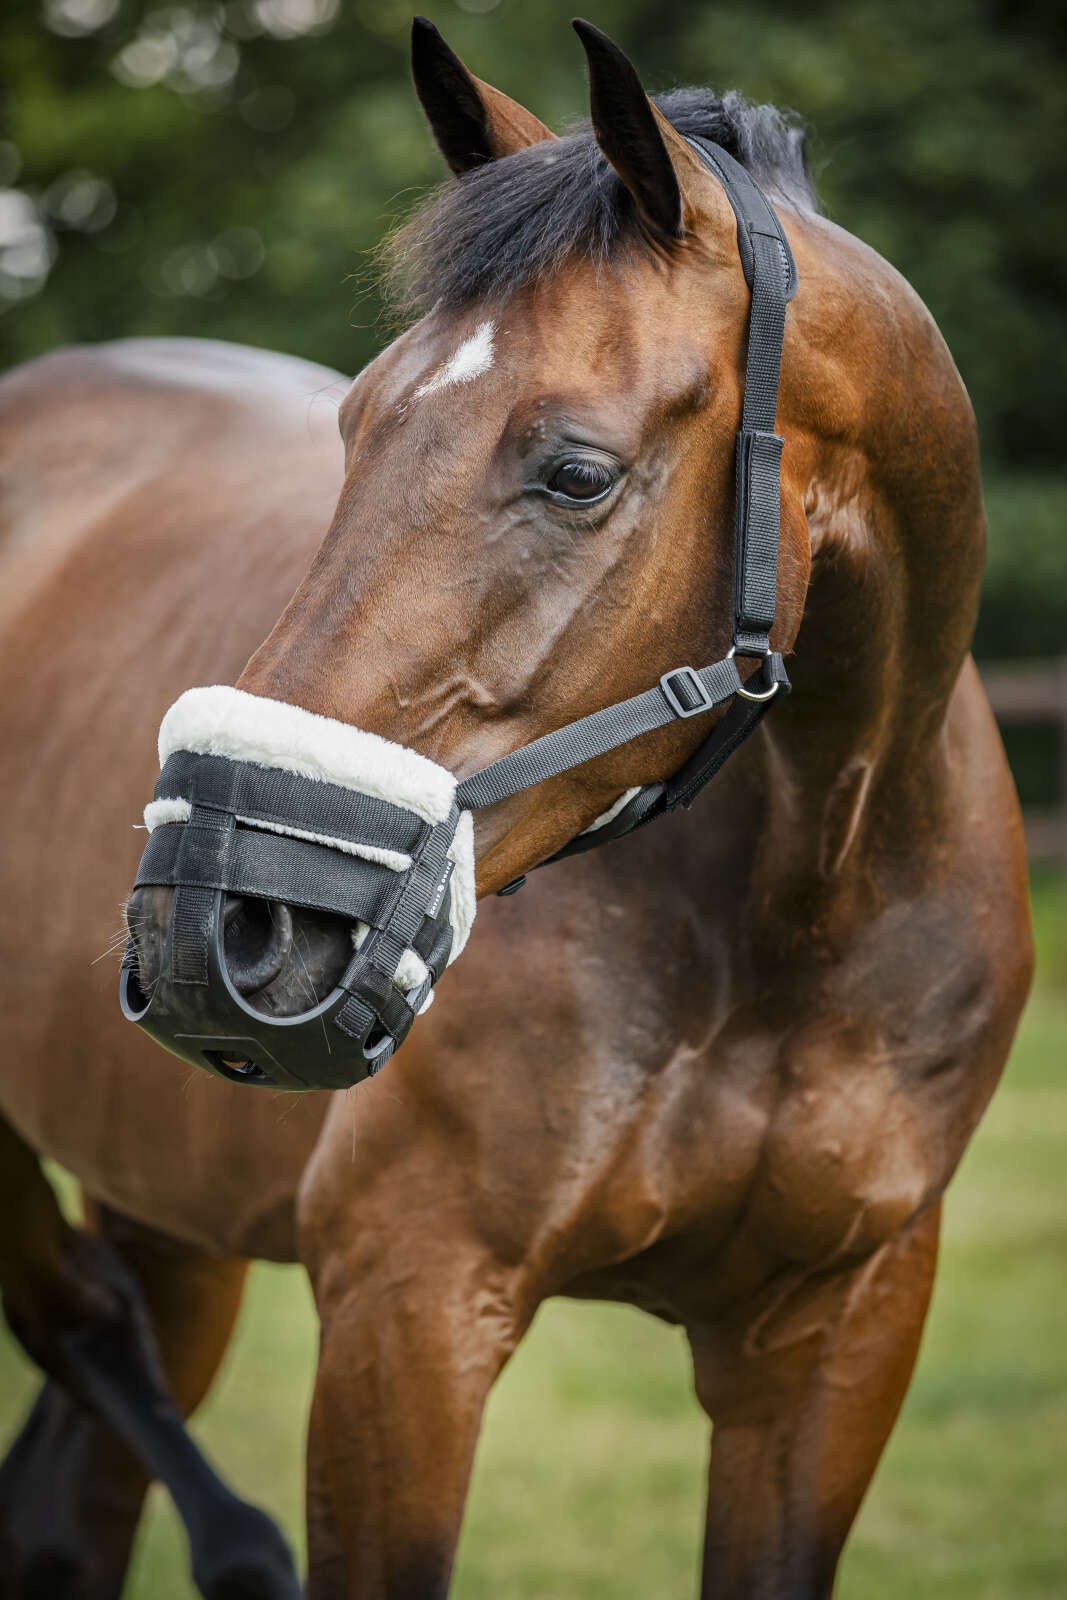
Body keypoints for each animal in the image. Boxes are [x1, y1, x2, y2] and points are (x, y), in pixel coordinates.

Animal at [0, 17, 1032, 1599]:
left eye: (575, 471)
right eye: (355, 424)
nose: (210, 919)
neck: (799, 909)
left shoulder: (836, 1336)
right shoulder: (410, 1306)